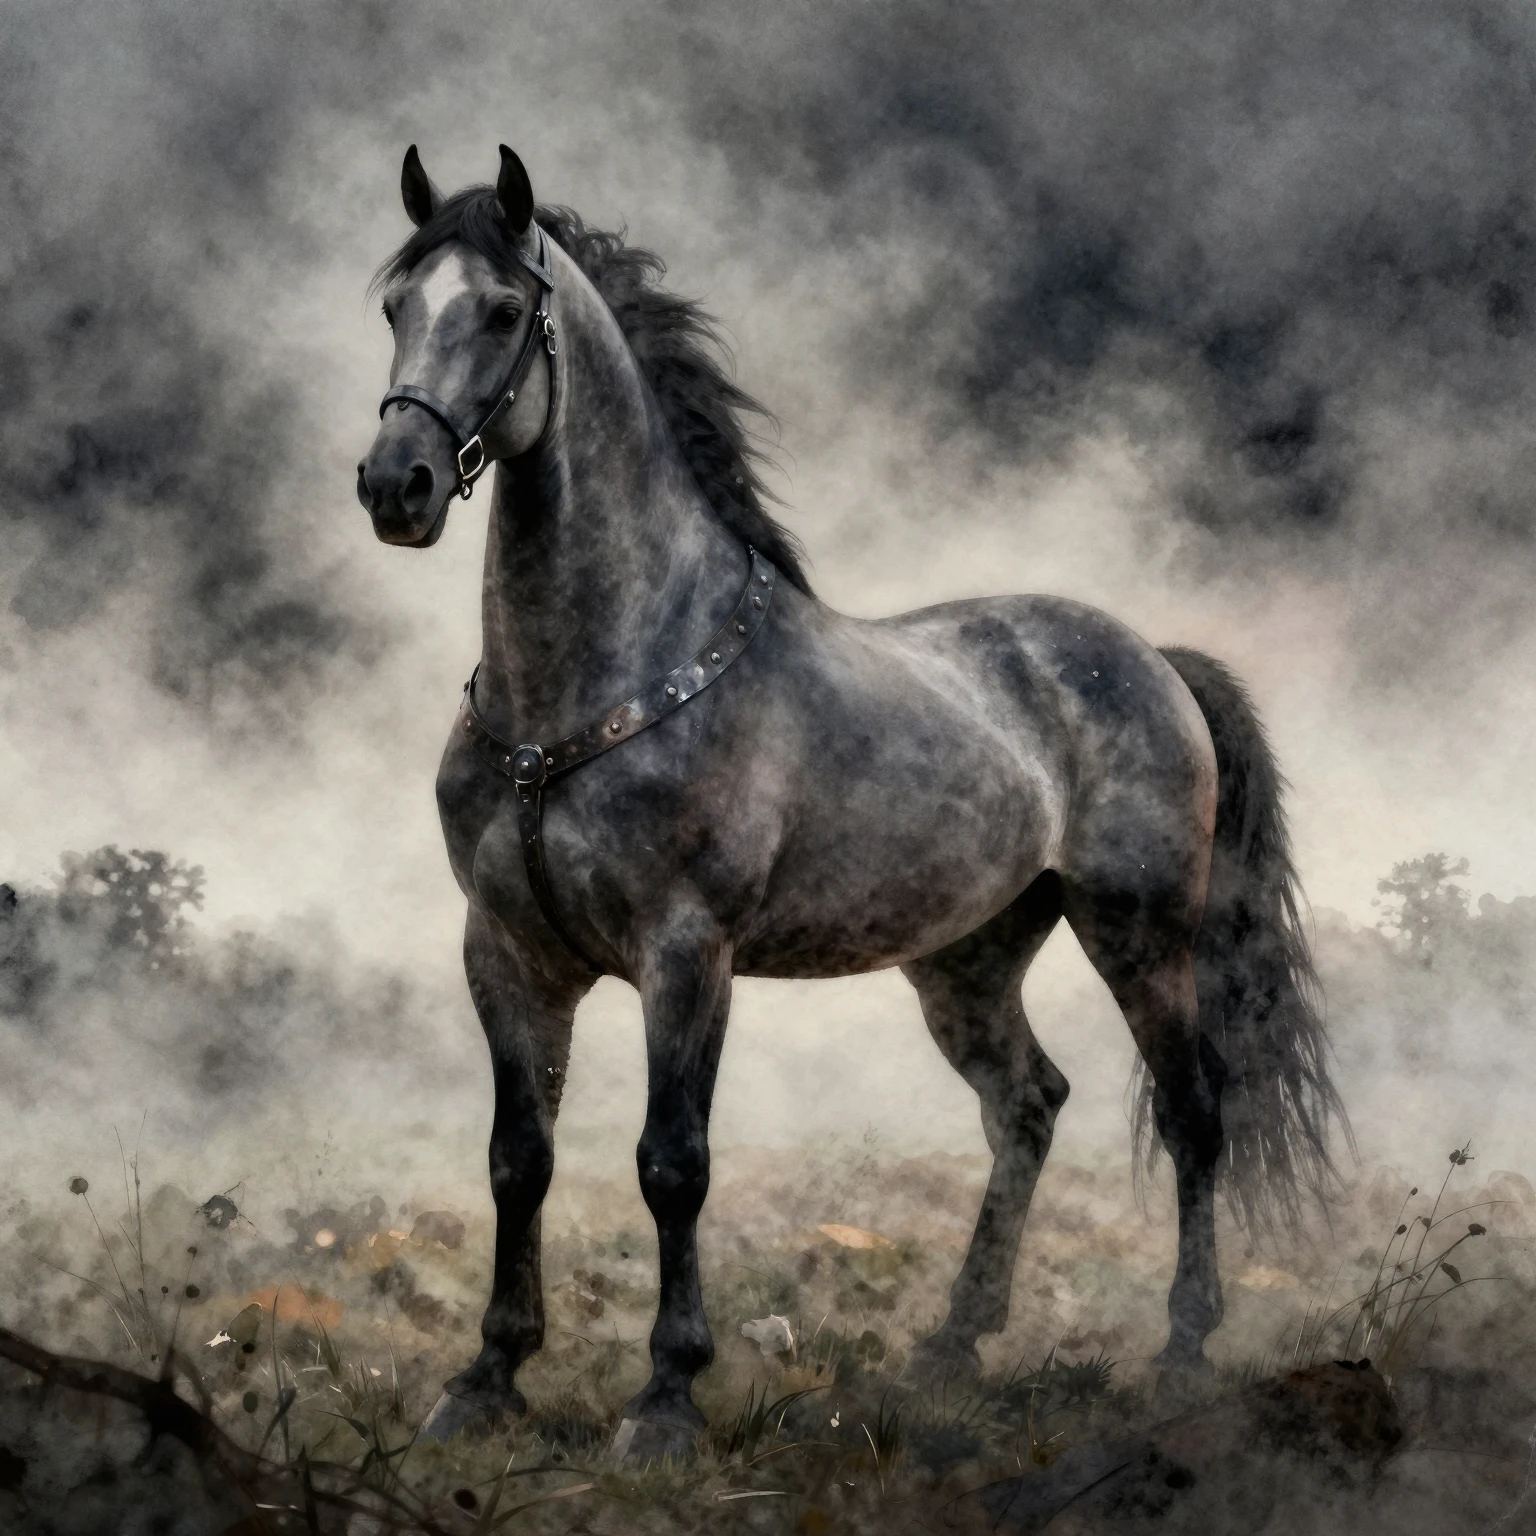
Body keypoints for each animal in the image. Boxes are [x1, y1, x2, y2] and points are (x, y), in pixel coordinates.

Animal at [355, 144, 1346, 1459]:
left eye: (506, 312)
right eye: (396, 308)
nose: (395, 487)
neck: (591, 683)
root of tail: (1153, 658)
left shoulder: (687, 954)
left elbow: (673, 1162)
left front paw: (666, 1397)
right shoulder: (508, 955)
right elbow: (519, 1158)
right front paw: (487, 1380)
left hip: (1140, 936)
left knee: (1193, 1116)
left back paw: (1183, 1346)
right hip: (967, 962)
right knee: (1028, 1106)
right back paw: (954, 1342)